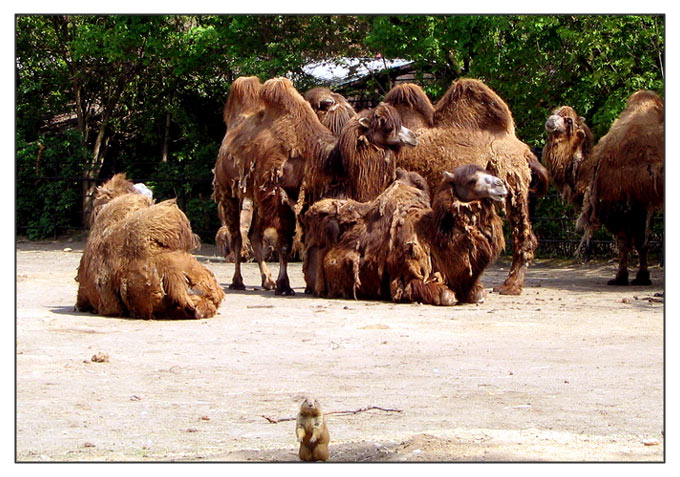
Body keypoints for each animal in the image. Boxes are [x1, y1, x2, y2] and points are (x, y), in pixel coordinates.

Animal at [302, 165, 504, 304]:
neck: (433, 236)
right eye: (471, 180)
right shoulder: (405, 275)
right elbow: (445, 295)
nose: (500, 185)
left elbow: (479, 294)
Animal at [544, 89, 668, 284]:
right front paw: (641, 276)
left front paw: (621, 278)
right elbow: (641, 242)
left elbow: (625, 241)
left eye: (568, 120)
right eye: (555, 112)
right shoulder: (639, 201)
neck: (590, 168)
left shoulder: (619, 202)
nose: (550, 121)